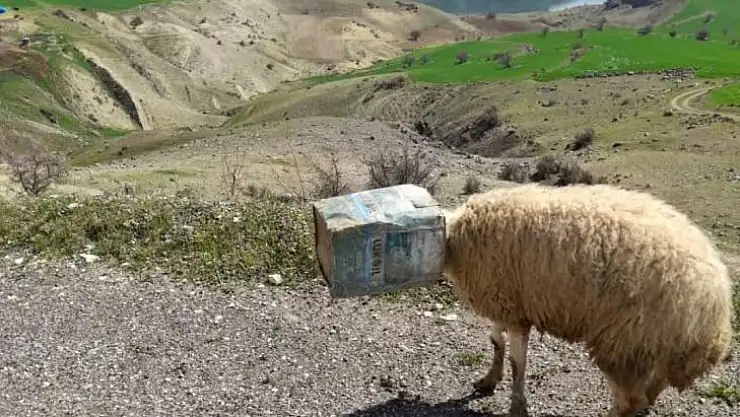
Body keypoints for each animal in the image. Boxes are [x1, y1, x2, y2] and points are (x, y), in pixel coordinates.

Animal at [442, 183, 734, 417]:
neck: (453, 237)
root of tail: (716, 301)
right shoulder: (507, 302)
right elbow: (495, 341)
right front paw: (489, 379)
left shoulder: (514, 310)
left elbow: (518, 364)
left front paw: (516, 406)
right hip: (657, 345)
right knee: (650, 388)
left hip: (624, 342)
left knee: (629, 400)